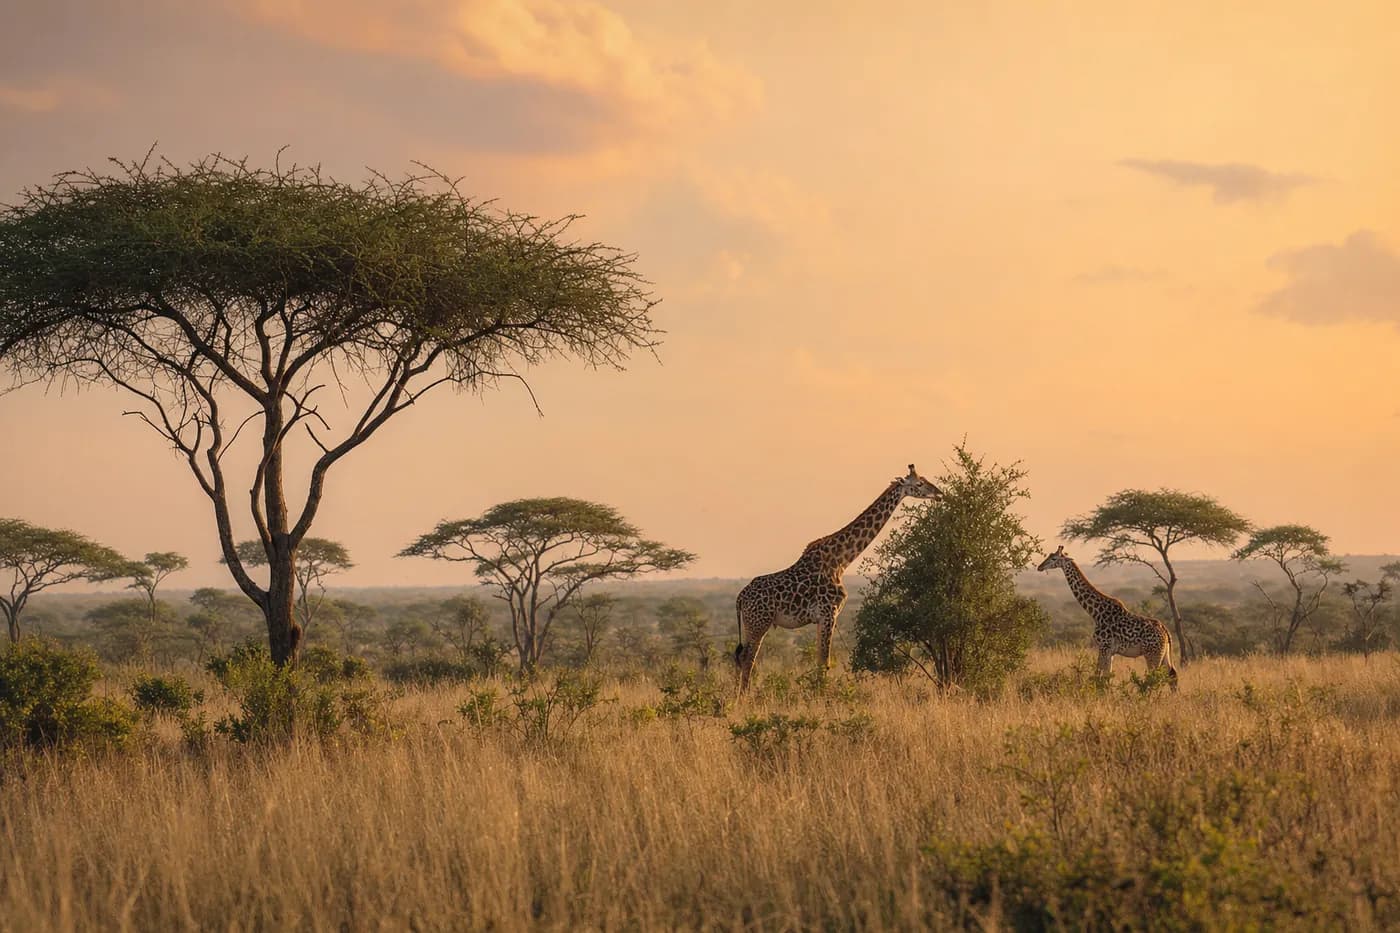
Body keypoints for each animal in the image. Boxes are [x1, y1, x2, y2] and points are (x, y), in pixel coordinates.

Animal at [733, 464, 942, 691]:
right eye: (919, 484)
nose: (939, 493)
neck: (841, 560)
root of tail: (740, 598)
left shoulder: (821, 618)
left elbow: (821, 661)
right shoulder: (828, 613)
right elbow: (824, 662)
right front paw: (820, 694)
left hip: (751, 624)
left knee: (741, 657)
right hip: (758, 623)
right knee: (747, 658)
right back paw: (744, 696)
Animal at [1037, 545, 1179, 689]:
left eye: (1054, 558)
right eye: (1048, 556)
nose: (1039, 567)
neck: (1096, 613)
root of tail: (1166, 632)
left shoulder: (1103, 647)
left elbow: (1100, 677)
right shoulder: (1111, 651)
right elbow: (1107, 678)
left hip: (1152, 654)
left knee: (1154, 678)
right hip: (1163, 654)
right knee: (1172, 675)